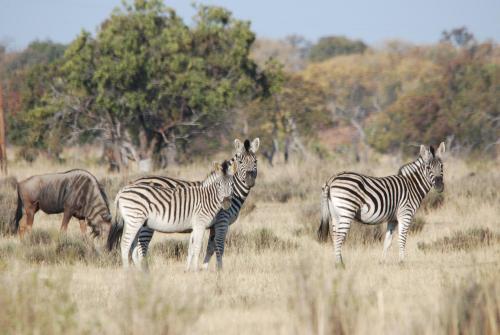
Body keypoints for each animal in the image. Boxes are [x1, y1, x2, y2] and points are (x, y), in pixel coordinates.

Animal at [106, 161, 235, 272]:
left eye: (231, 185)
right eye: (218, 185)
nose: (226, 203)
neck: (208, 198)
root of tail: (122, 191)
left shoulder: (195, 226)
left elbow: (192, 247)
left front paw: (189, 270)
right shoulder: (201, 223)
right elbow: (198, 247)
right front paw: (196, 270)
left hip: (136, 222)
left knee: (133, 247)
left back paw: (139, 273)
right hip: (134, 220)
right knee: (125, 244)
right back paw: (127, 272)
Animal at [129, 138, 260, 272]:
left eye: (255, 161)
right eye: (240, 161)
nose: (250, 180)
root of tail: (135, 181)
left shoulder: (212, 225)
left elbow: (208, 248)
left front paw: (200, 268)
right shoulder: (222, 221)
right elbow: (219, 246)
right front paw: (219, 270)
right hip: (145, 225)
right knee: (141, 248)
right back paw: (145, 271)